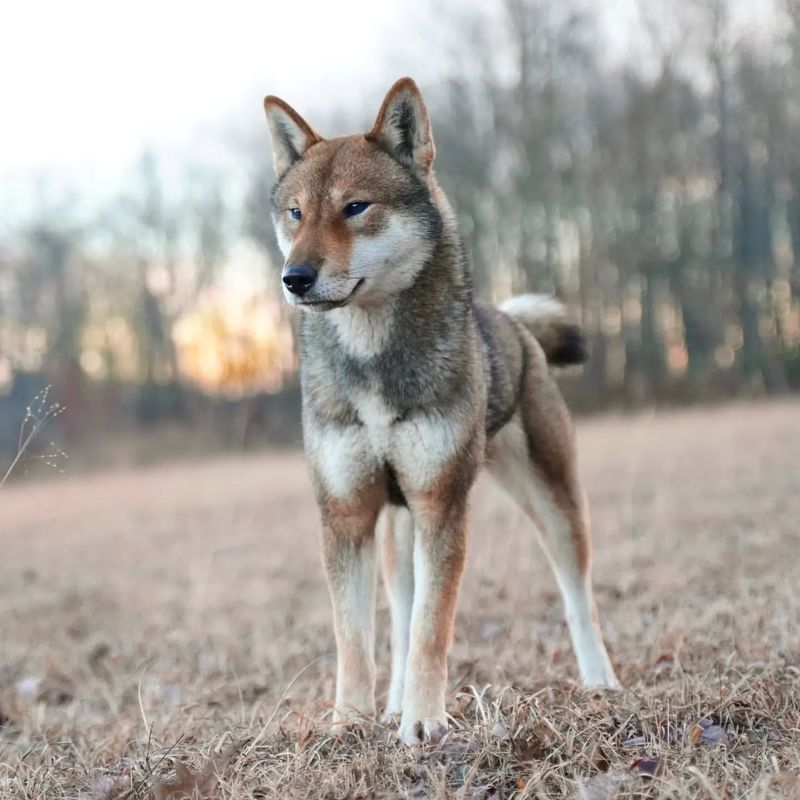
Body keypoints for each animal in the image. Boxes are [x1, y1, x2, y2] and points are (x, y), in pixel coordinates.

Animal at [262, 78, 620, 748]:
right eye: (296, 213)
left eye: (356, 207)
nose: (294, 277)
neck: (373, 356)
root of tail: (508, 318)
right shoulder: (347, 514)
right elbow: (356, 640)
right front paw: (350, 724)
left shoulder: (441, 503)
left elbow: (433, 629)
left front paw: (425, 723)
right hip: (397, 530)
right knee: (399, 617)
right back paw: (393, 702)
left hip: (551, 502)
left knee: (576, 595)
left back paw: (600, 683)